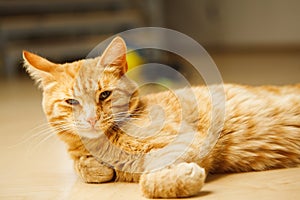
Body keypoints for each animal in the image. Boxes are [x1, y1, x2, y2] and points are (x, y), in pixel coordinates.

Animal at [23, 36, 300, 198]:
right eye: (71, 102)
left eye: (104, 95)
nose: (91, 119)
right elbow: (83, 168)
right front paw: (95, 168)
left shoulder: (185, 141)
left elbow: (149, 177)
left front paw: (181, 178)